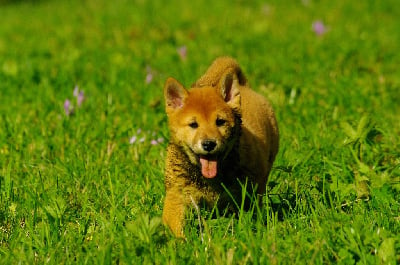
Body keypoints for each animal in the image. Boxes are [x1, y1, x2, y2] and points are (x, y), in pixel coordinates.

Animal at [162, 57, 278, 235]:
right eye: (193, 124)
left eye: (220, 122)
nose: (209, 144)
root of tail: (245, 88)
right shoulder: (177, 196)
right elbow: (175, 230)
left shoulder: (248, 194)